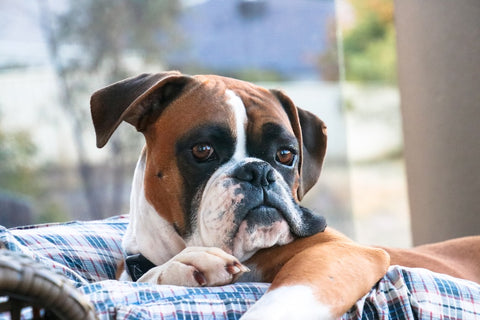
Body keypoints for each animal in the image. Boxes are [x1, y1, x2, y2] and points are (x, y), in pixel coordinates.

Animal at [90, 71, 480, 318]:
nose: (259, 172)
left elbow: (277, 304)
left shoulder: (340, 254)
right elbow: (139, 279)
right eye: (202, 150)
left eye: (286, 155)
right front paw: (187, 266)